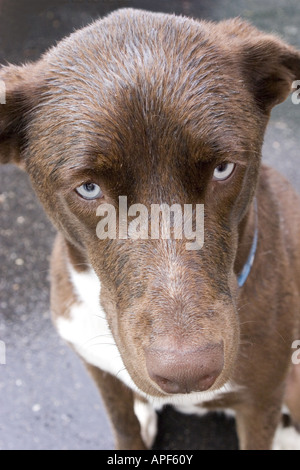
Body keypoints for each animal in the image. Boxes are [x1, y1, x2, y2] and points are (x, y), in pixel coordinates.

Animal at [0, 7, 300, 448]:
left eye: (223, 169)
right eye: (89, 188)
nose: (187, 373)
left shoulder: (261, 398)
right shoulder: (100, 372)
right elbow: (123, 426)